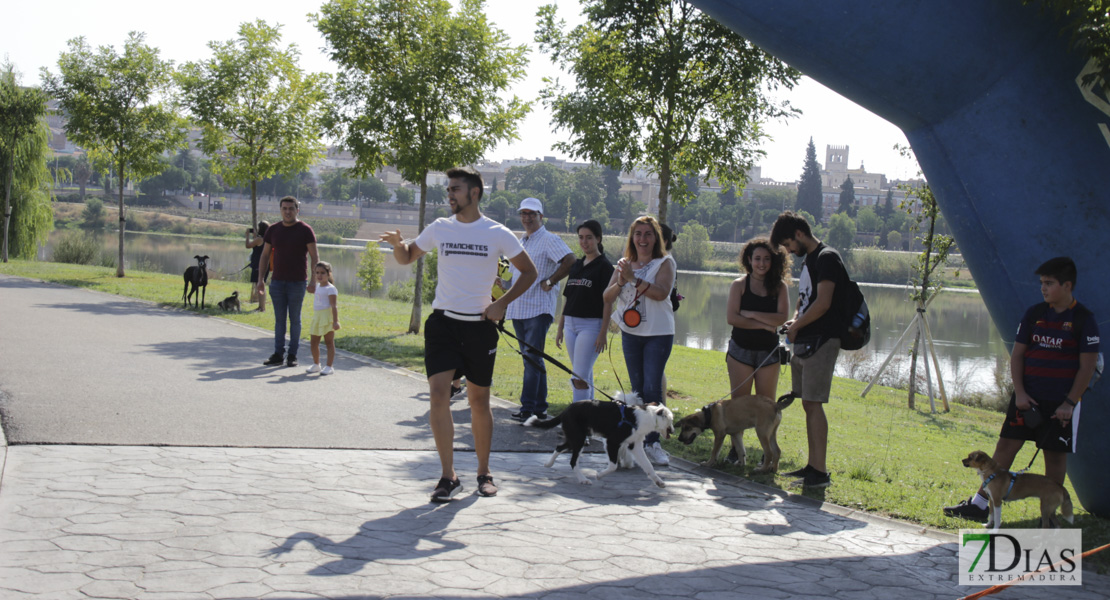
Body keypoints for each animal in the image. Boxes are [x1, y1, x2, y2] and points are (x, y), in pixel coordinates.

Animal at [521, 392, 674, 485]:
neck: (646, 416)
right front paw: (599, 475)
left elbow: (648, 465)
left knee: (559, 447)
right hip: (578, 439)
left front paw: (659, 481)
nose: (673, 431)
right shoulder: (613, 442)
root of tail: (565, 410)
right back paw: (583, 479)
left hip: (574, 438)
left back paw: (549, 464)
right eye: (670, 421)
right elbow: (613, 466)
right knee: (572, 461)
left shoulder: (634, 445)